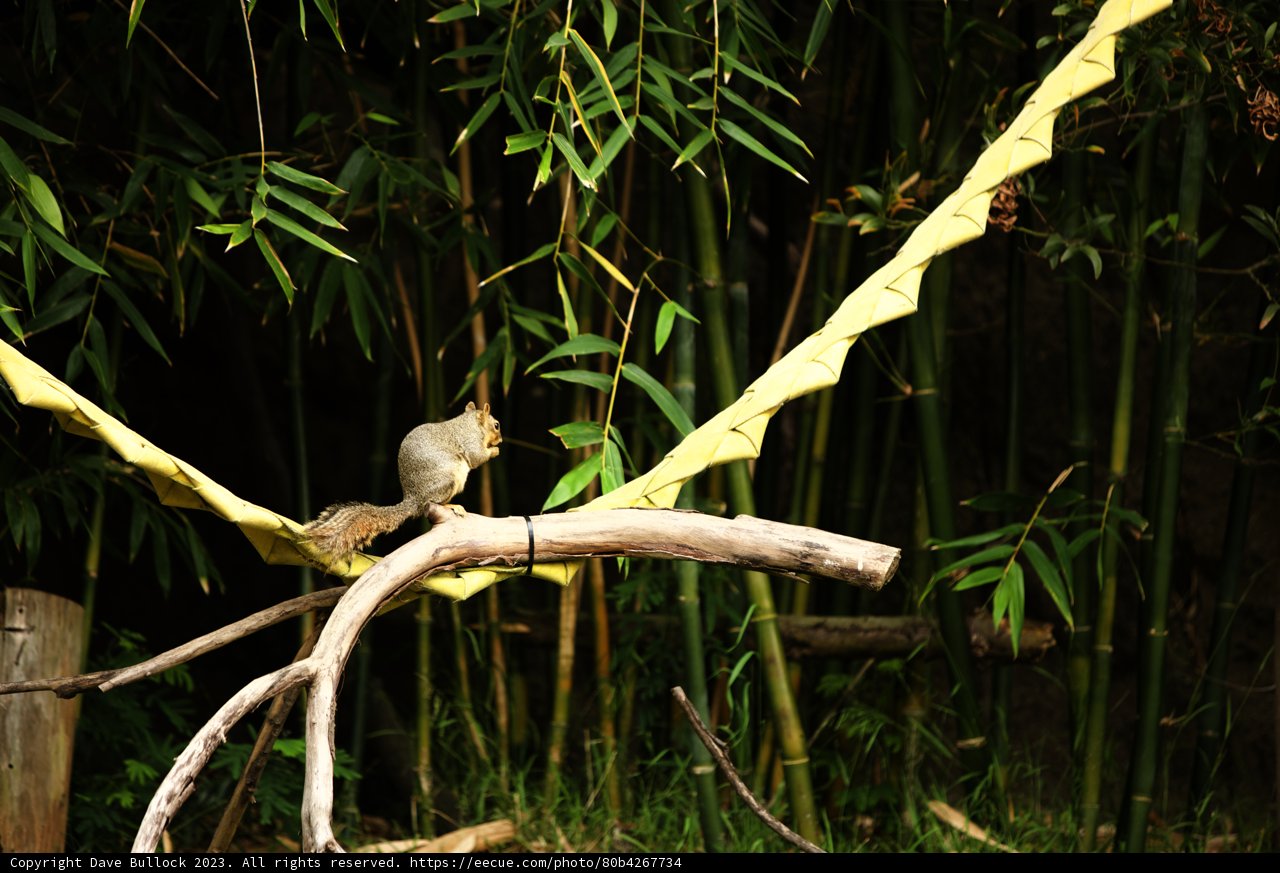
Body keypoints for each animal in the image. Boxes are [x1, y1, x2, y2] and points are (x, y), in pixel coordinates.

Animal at [303, 401, 502, 562]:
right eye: (496, 425)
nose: (500, 440)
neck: (470, 423)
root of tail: (413, 499)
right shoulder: (471, 442)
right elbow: (477, 457)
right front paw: (495, 451)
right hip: (449, 480)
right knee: (433, 502)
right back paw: (452, 506)